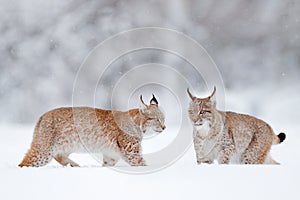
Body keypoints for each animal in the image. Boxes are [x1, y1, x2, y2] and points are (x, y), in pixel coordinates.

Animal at [19, 95, 166, 167]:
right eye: (156, 119)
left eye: (163, 119)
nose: (164, 127)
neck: (139, 125)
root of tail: (43, 115)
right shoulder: (130, 151)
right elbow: (140, 163)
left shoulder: (111, 154)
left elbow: (108, 164)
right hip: (43, 151)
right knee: (24, 162)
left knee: (59, 156)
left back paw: (74, 165)